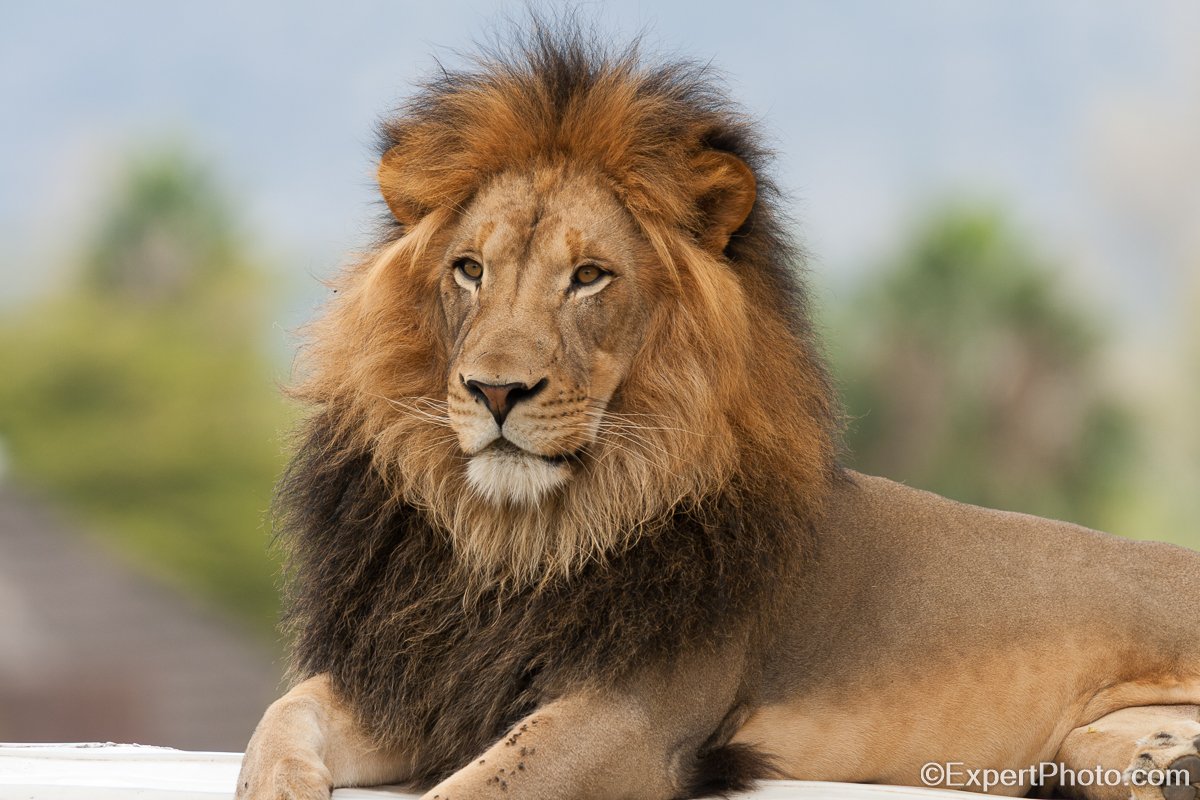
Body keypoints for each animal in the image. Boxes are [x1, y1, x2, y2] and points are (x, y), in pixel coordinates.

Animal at [236, 24, 1200, 800]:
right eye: (469, 269)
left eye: (589, 277)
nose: (495, 391)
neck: (520, 539)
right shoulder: (422, 678)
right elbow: (279, 721)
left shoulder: (636, 712)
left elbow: (477, 786)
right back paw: (1168, 763)